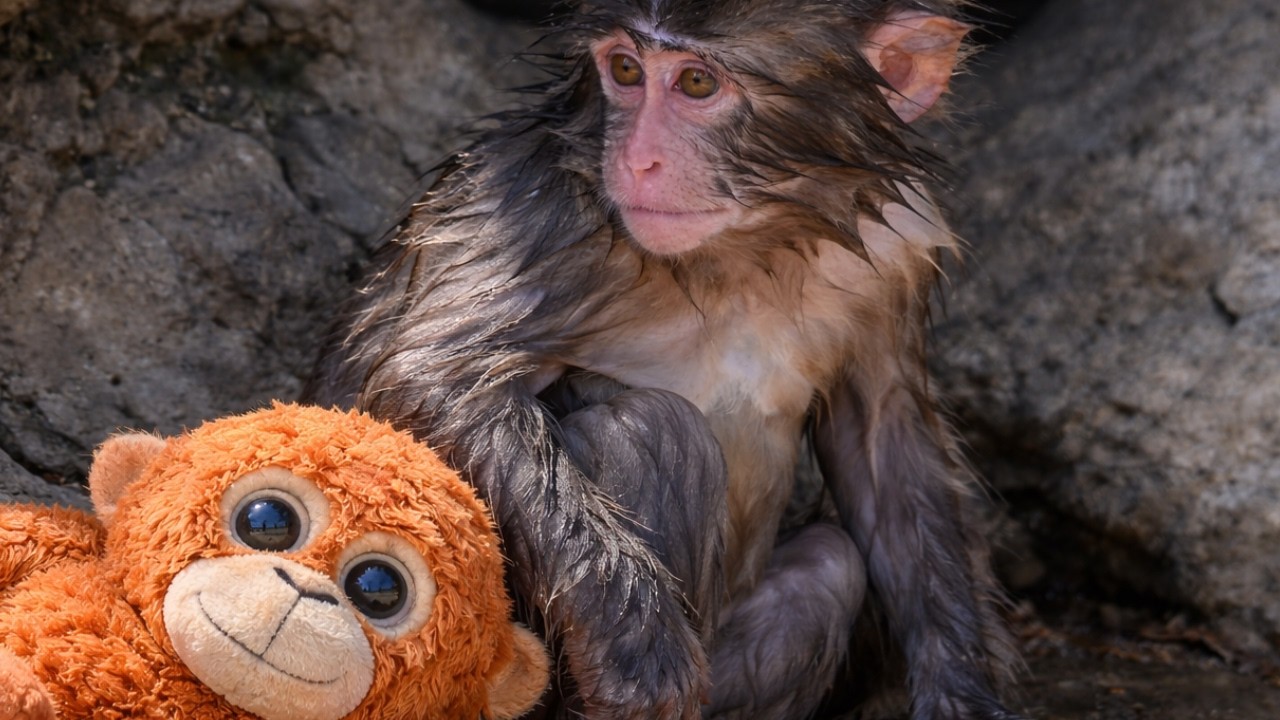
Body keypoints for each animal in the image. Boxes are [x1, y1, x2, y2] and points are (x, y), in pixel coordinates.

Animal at [303, 1, 1023, 719]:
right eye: (626, 70)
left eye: (697, 83)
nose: (635, 161)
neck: (752, 245)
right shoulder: (539, 207)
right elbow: (422, 381)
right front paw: (637, 642)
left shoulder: (893, 249)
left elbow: (886, 447)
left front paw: (962, 692)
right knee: (649, 429)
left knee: (827, 570)